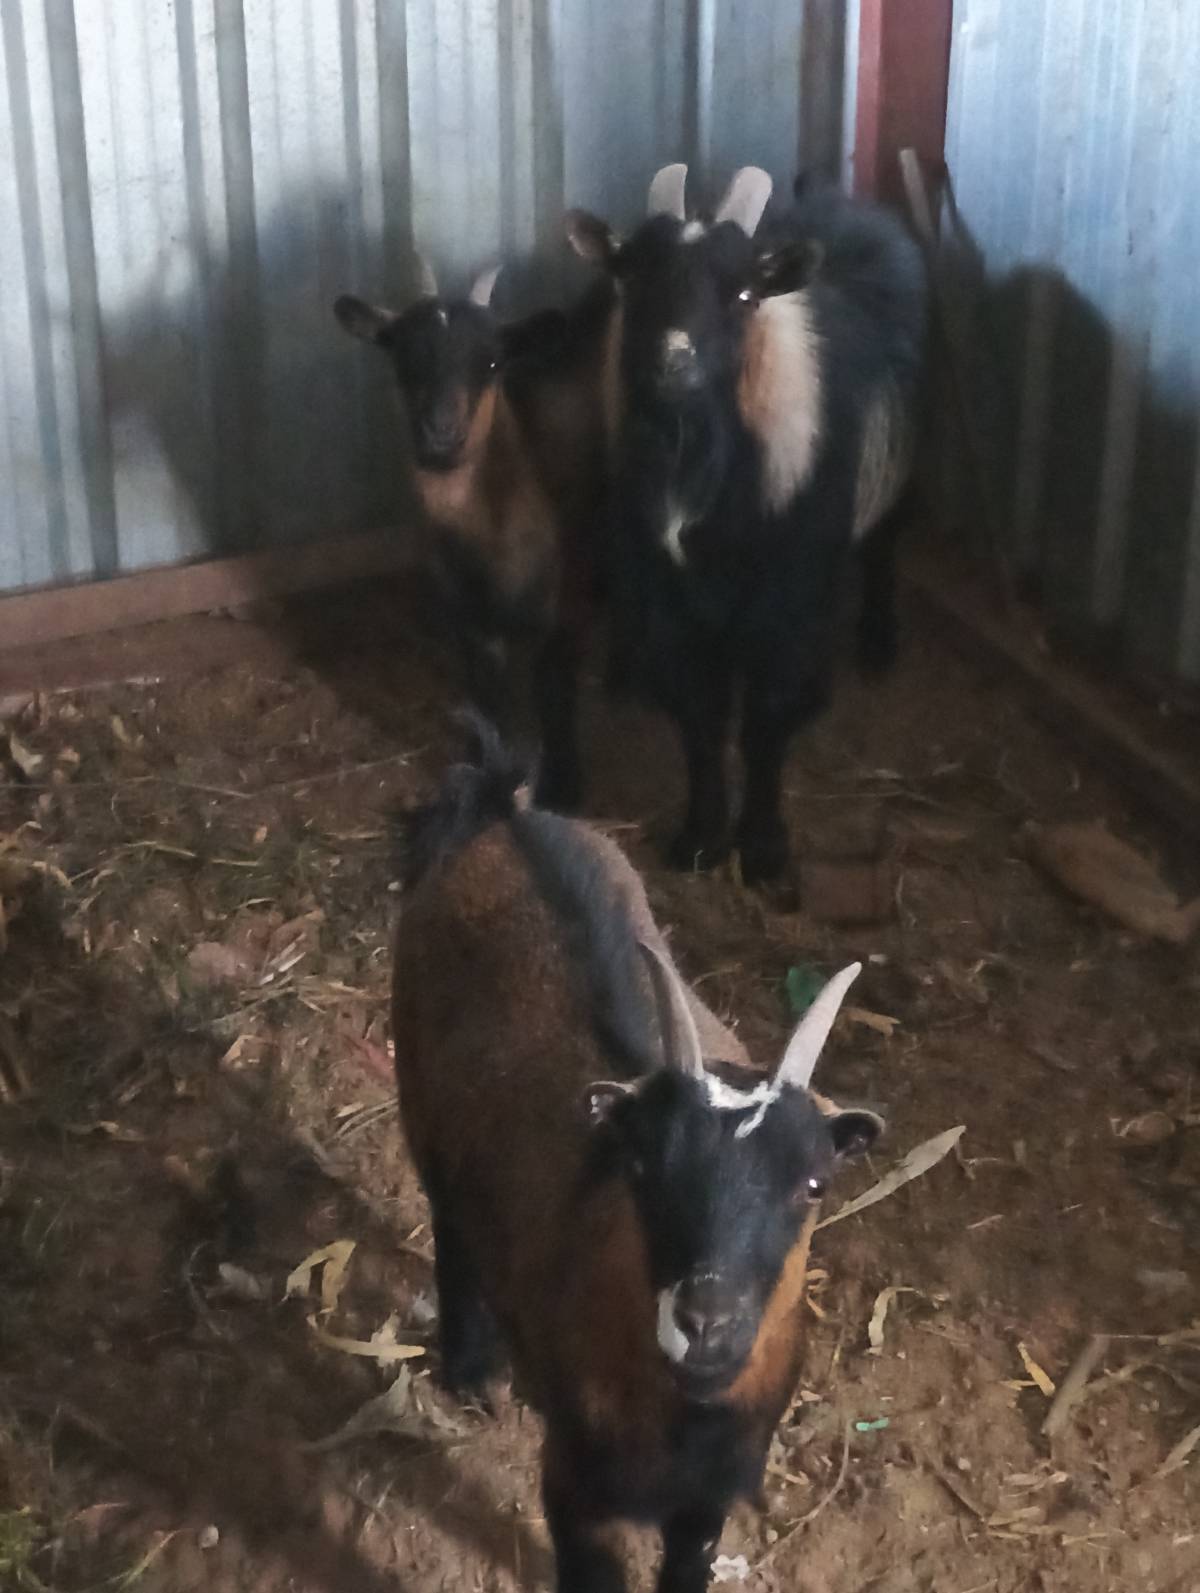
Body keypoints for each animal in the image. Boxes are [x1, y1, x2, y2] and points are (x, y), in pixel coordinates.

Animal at [334, 260, 612, 810]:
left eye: (491, 362)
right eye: (402, 355)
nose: (441, 432)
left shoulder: (568, 601)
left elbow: (555, 687)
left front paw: (564, 786)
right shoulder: (466, 616)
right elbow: (487, 693)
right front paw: (487, 769)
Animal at [392, 721, 883, 1593]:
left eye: (815, 1182)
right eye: (646, 1166)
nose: (705, 1321)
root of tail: (503, 815)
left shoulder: (709, 1500)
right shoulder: (574, 1485)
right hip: (421, 1104)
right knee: (452, 1230)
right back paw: (473, 1374)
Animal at [565, 165, 929, 882]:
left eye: (742, 294)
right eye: (632, 279)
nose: (671, 361)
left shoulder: (787, 605)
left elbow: (768, 721)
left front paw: (762, 849)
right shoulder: (671, 602)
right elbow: (700, 718)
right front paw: (700, 838)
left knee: (885, 544)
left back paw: (878, 641)